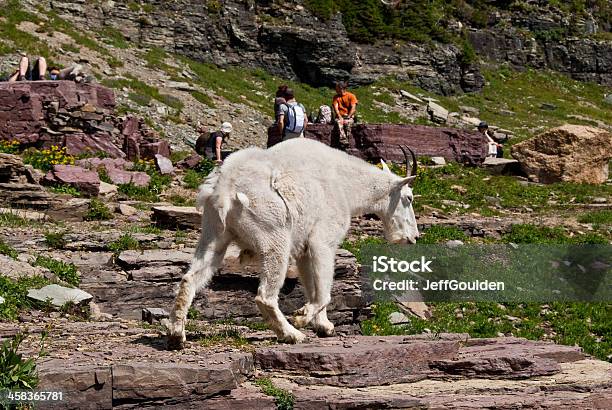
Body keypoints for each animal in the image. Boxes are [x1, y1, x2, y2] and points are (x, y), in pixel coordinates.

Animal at [165, 139, 418, 350]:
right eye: (409, 198)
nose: (413, 238)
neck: (347, 186)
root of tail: (225, 189)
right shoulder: (323, 240)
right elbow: (324, 289)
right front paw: (302, 316)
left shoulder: (303, 249)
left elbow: (312, 284)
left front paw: (324, 326)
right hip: (274, 233)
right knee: (265, 295)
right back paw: (291, 333)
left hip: (214, 232)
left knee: (191, 277)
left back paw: (177, 335)